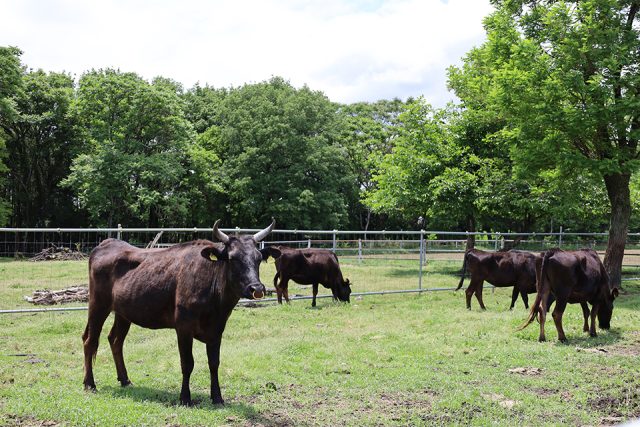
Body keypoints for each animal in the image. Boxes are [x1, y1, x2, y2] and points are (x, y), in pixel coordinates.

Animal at [82, 222, 278, 406]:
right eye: (232, 258)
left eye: (259, 258)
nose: (257, 288)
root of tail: (107, 243)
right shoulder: (183, 328)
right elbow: (187, 363)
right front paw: (185, 398)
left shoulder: (217, 330)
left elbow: (214, 363)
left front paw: (217, 397)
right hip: (97, 305)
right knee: (90, 341)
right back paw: (90, 384)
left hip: (123, 313)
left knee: (115, 340)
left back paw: (125, 380)